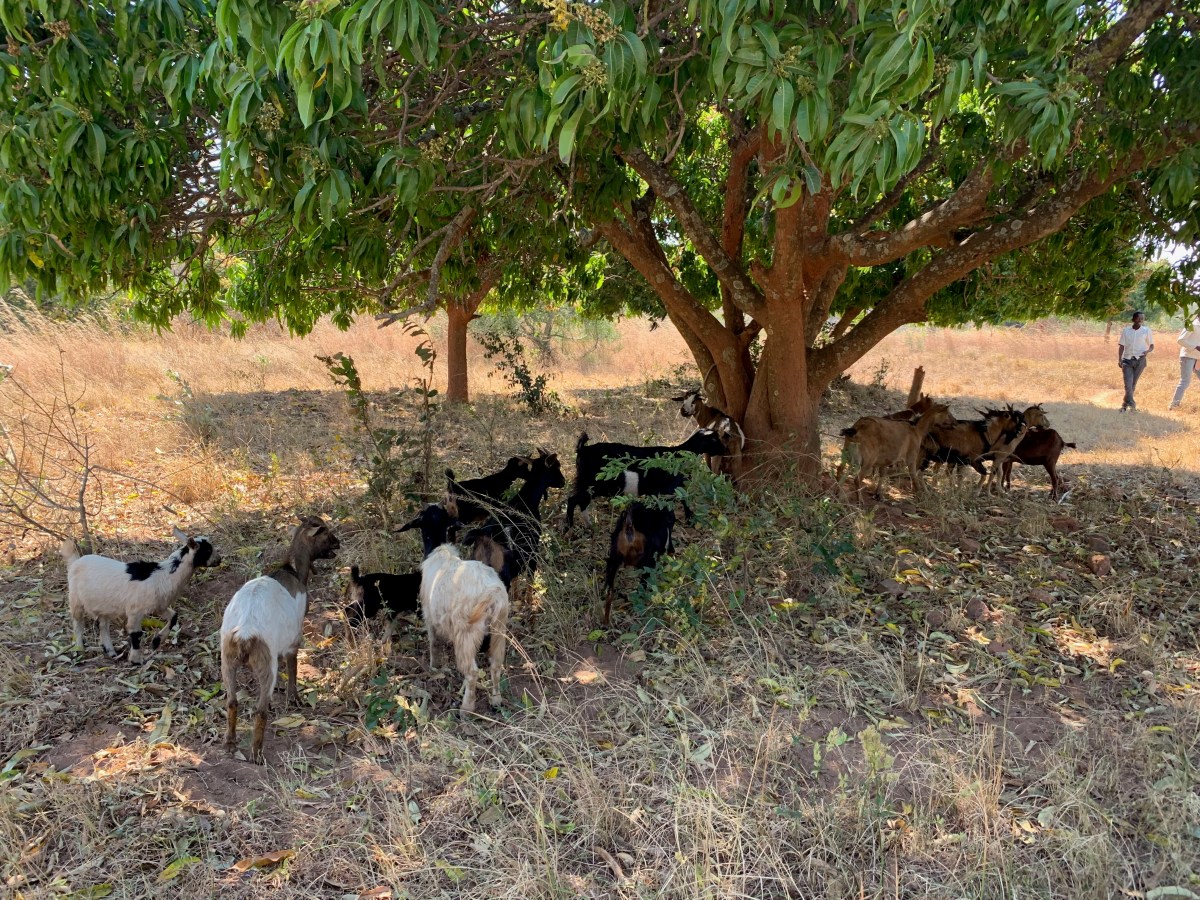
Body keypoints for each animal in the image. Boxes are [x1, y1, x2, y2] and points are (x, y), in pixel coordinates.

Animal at [62, 527, 221, 664]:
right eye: (207, 549)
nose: (219, 559)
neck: (165, 574)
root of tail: (76, 561)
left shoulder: (159, 606)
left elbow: (174, 617)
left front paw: (156, 642)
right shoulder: (135, 610)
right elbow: (136, 633)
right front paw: (136, 660)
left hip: (105, 605)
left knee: (102, 624)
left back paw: (111, 651)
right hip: (75, 599)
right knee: (78, 623)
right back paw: (79, 649)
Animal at [221, 515, 339, 763]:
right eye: (326, 533)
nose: (338, 543)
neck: (292, 571)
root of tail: (244, 633)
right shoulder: (293, 638)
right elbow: (292, 666)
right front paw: (293, 698)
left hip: (227, 659)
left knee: (232, 701)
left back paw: (229, 744)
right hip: (266, 663)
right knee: (260, 709)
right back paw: (256, 754)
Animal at [419, 544, 509, 714]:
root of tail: (492, 592)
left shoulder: (429, 616)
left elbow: (433, 643)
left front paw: (433, 666)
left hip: (466, 634)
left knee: (472, 673)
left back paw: (466, 708)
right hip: (499, 629)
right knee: (496, 665)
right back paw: (496, 700)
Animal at [566, 428, 727, 529]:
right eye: (714, 440)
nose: (726, 450)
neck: (679, 455)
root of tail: (584, 449)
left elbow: (684, 501)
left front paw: (690, 520)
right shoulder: (666, 490)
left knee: (581, 502)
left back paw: (589, 525)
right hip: (593, 484)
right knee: (573, 500)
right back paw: (569, 527)